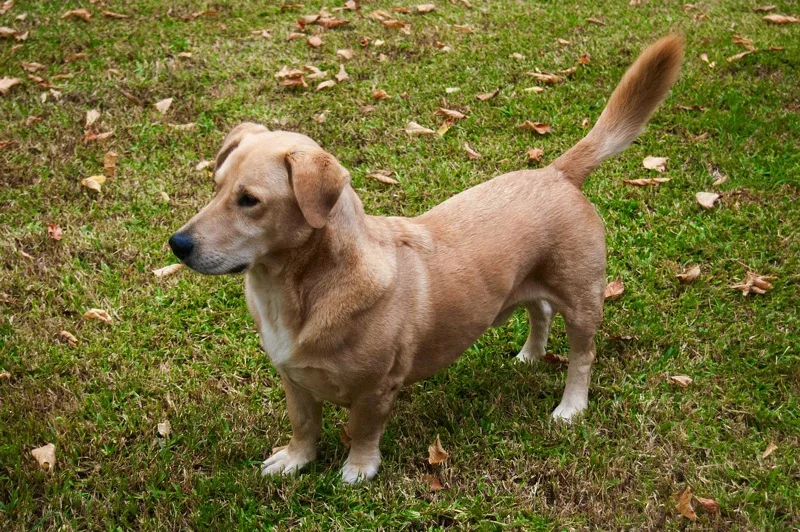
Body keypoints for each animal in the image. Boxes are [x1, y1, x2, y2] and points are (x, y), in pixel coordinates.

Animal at [167, 33, 680, 482]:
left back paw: (571, 406)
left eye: (249, 200)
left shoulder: (376, 390)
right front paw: (295, 460)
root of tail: (557, 173)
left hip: (582, 301)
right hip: (530, 283)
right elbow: (303, 425)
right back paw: (530, 355)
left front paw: (358, 469)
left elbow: (362, 431)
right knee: (539, 310)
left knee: (582, 355)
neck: (297, 289)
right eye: (216, 188)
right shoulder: (294, 381)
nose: (177, 244)